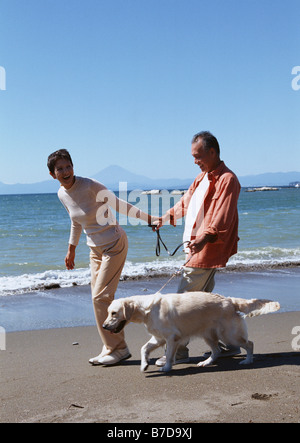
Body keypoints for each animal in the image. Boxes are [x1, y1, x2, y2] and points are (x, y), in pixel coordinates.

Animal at [102, 294, 278, 372]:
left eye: (114, 313)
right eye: (108, 312)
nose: (103, 326)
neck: (147, 308)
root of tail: (229, 300)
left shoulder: (171, 337)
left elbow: (169, 355)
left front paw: (166, 368)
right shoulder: (159, 338)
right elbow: (144, 348)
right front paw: (144, 364)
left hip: (229, 334)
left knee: (249, 344)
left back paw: (248, 361)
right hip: (209, 335)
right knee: (217, 351)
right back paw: (206, 362)